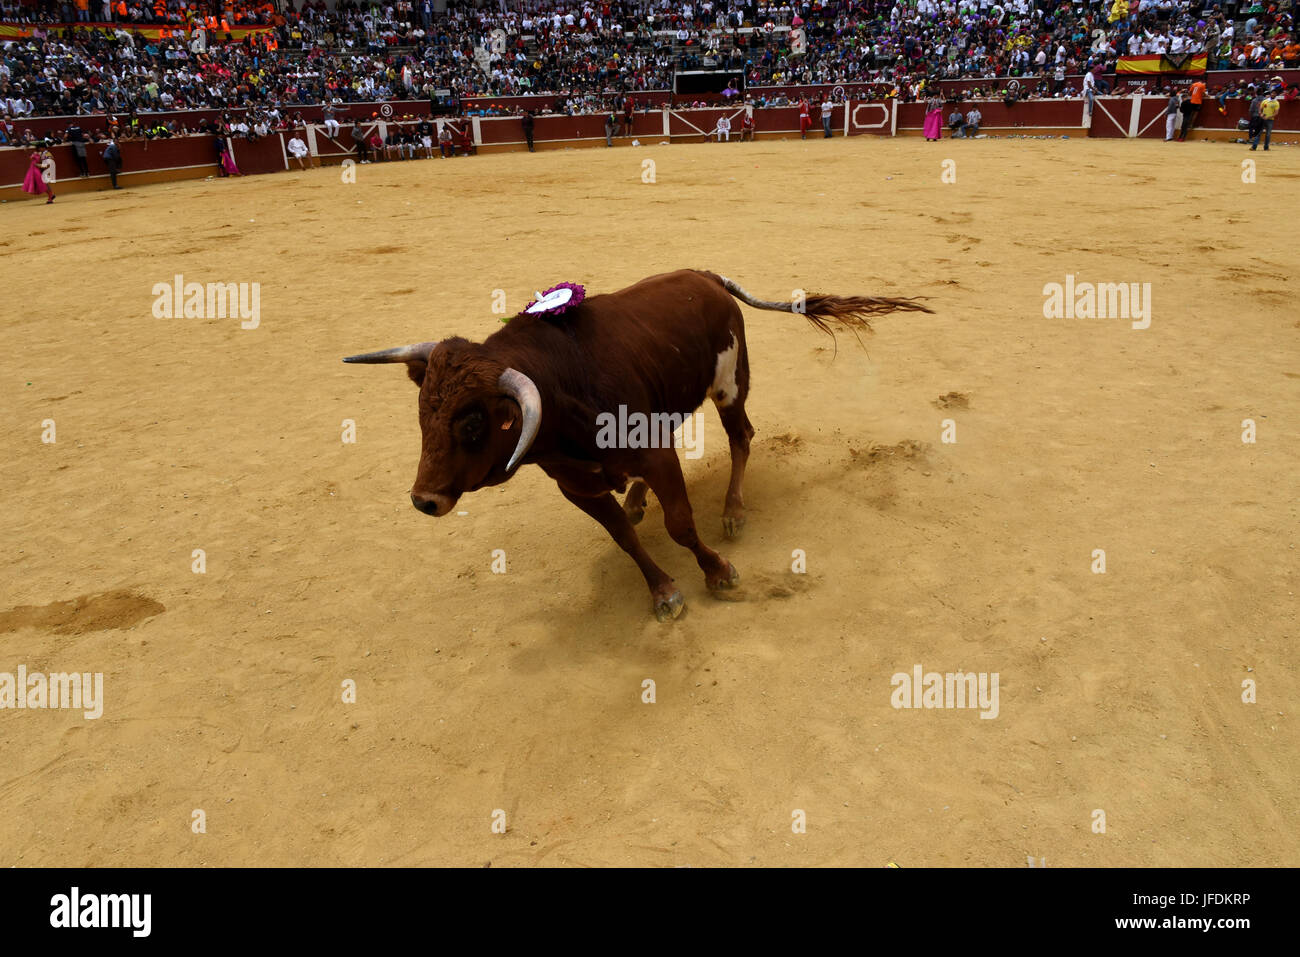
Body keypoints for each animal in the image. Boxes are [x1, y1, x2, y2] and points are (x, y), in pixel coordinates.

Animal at [345, 267, 930, 621]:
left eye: (471, 424)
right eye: (423, 412)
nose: (424, 500)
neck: (563, 390)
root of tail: (705, 275)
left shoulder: (656, 454)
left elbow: (681, 524)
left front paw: (717, 571)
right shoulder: (576, 486)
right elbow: (625, 538)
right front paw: (663, 589)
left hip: (729, 384)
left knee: (741, 438)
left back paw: (734, 511)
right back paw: (639, 498)